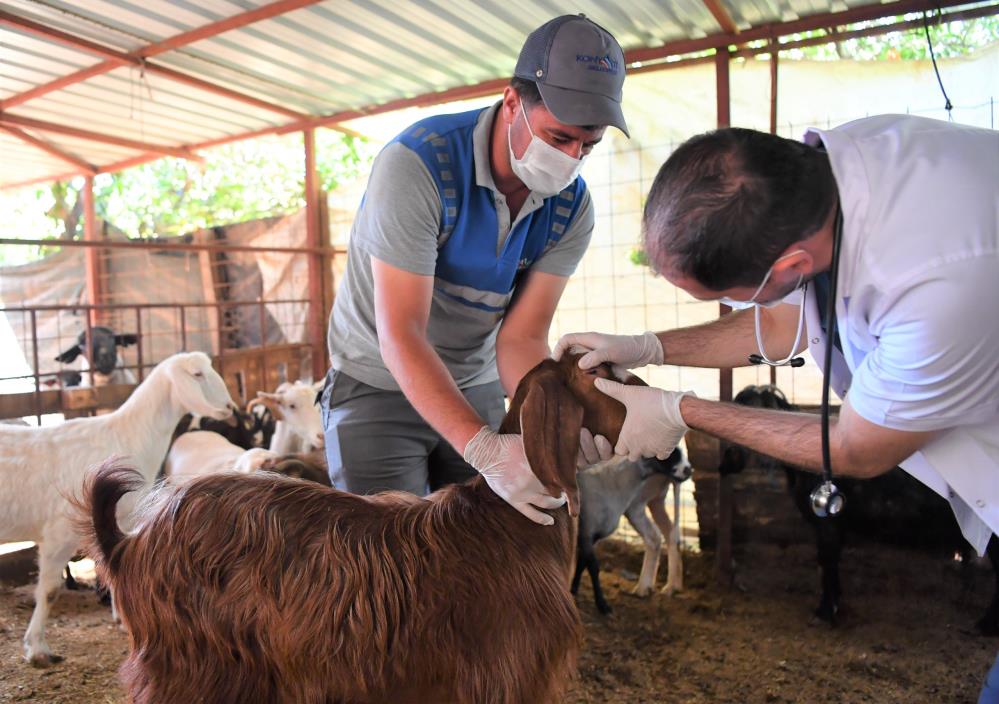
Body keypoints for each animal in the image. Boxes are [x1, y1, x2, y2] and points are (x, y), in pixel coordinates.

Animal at [0, 352, 233, 664]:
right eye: (197, 374)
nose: (229, 408)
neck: (128, 436)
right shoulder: (59, 534)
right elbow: (49, 591)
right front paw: (37, 648)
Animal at [78, 354, 640, 704]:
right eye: (599, 372)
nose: (651, 394)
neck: (508, 518)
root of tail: (129, 544)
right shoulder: (510, 676)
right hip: (193, 669)